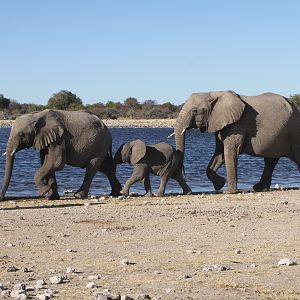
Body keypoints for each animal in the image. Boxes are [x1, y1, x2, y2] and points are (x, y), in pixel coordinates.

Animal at [171, 90, 300, 193]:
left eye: (194, 111)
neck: (214, 93)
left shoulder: (237, 125)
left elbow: (230, 151)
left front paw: (228, 192)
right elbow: (220, 154)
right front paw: (220, 184)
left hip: (293, 130)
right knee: (270, 161)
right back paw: (259, 188)